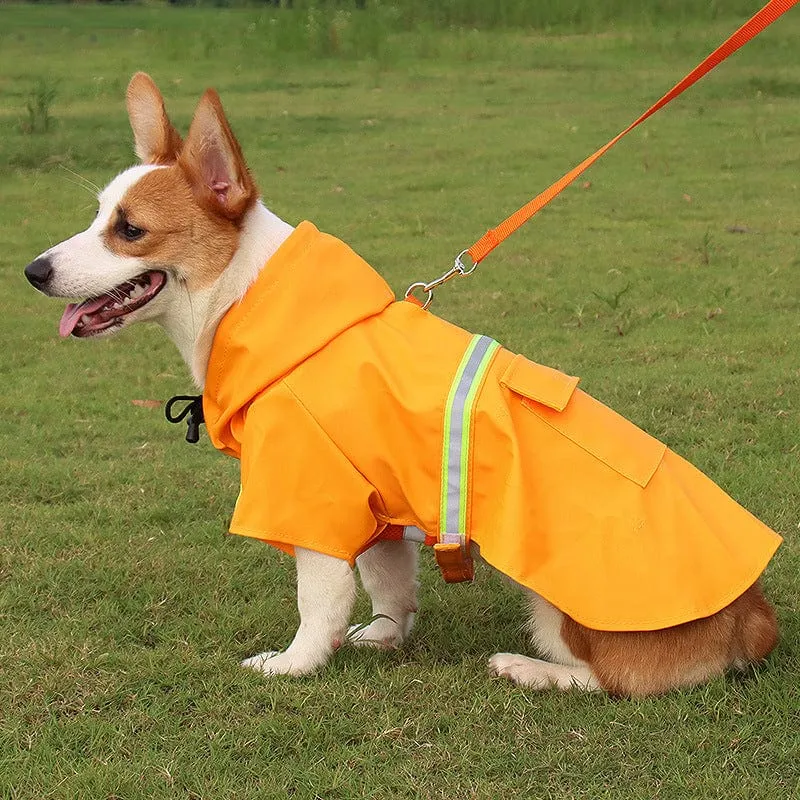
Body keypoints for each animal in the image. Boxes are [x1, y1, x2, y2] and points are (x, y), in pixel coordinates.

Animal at [21, 76, 780, 700]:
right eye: (97, 216)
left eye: (131, 230)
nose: (32, 271)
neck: (243, 296)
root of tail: (755, 619)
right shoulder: (378, 503)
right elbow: (387, 583)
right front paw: (385, 636)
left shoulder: (312, 499)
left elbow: (319, 602)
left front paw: (293, 665)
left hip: (554, 598)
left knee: (611, 679)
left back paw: (528, 669)